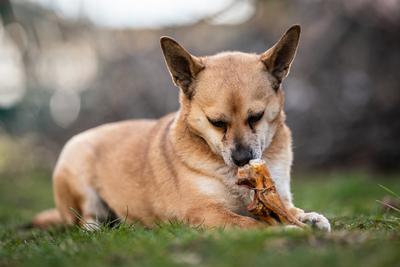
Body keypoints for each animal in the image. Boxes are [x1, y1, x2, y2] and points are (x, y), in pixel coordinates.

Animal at [32, 26, 330, 233]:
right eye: (217, 122)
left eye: (255, 117)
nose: (242, 159)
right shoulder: (205, 212)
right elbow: (250, 223)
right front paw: (286, 229)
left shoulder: (276, 196)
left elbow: (289, 209)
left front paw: (308, 218)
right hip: (76, 165)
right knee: (86, 222)